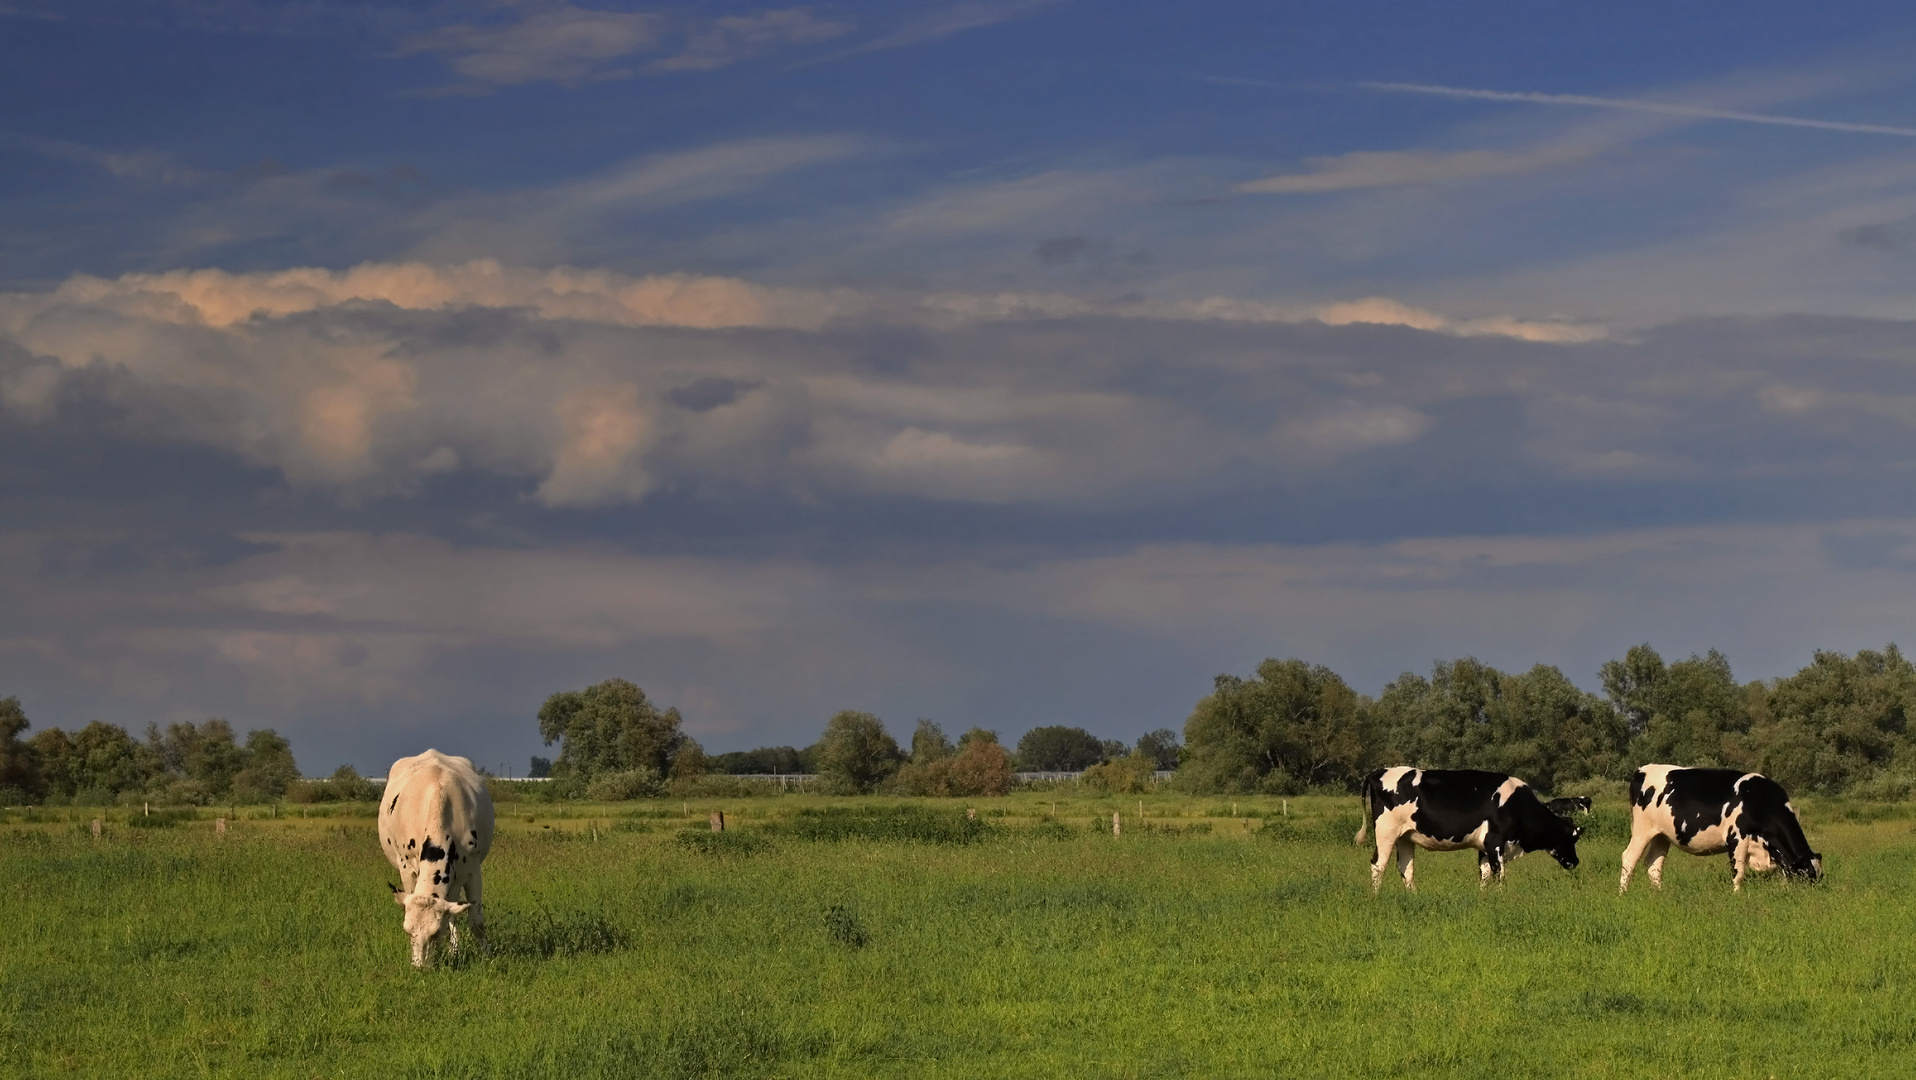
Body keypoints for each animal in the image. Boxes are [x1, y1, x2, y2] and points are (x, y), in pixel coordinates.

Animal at [377, 750, 498, 968]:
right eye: (408, 931)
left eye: (435, 933)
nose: (420, 968)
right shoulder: (406, 869)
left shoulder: (473, 871)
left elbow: (476, 923)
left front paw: (487, 957)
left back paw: (454, 950)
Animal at [1356, 765, 1578, 896]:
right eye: (1572, 839)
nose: (1576, 862)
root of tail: (1379, 771)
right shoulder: (1495, 841)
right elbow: (1499, 872)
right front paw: (1502, 897)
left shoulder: (1484, 846)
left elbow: (1485, 873)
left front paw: (1483, 898)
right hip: (1385, 832)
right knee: (1378, 865)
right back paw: (1376, 897)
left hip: (1405, 837)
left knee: (1405, 867)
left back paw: (1414, 897)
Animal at [1617, 762, 1824, 888]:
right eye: (1806, 876)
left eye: (1818, 877)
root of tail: (1642, 770)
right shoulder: (1737, 838)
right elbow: (1738, 872)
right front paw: (1737, 896)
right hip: (1642, 830)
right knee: (1629, 858)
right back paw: (1623, 894)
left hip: (1661, 835)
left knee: (1654, 864)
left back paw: (1658, 894)